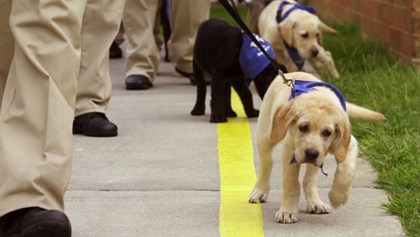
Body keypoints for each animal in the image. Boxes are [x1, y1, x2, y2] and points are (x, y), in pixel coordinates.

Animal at [248, 71, 386, 223]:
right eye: (303, 127)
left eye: (327, 133)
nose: (311, 153)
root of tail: (290, 73)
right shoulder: (290, 151)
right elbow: (291, 183)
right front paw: (287, 211)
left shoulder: (348, 144)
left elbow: (347, 170)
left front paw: (338, 197)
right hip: (267, 135)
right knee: (266, 162)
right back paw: (260, 191)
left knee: (309, 178)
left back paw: (315, 202)